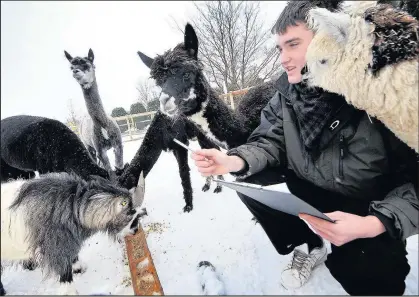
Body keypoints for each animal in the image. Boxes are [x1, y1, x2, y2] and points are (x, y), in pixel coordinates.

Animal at [0, 170, 145, 294]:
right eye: (129, 214)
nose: (135, 230)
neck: (73, 208)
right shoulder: (57, 249)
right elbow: (65, 275)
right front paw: (70, 291)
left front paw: (78, 267)